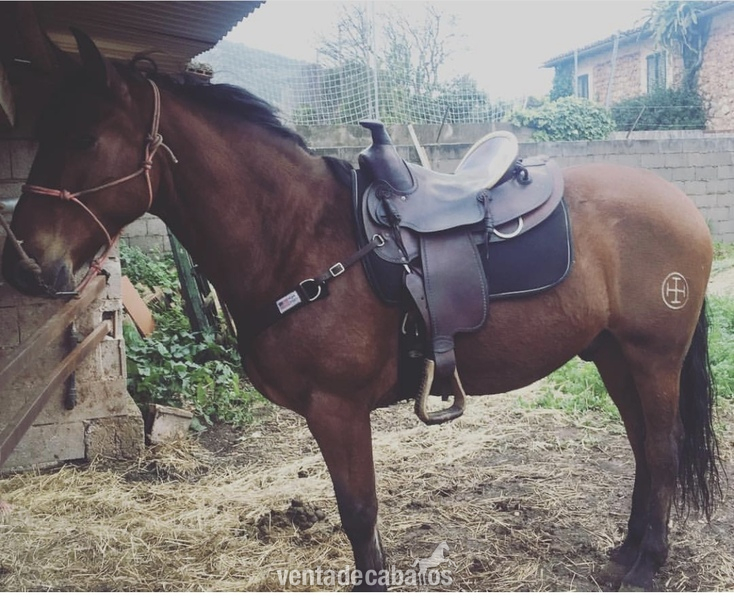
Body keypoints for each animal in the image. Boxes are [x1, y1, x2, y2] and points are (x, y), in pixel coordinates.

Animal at [1, 30, 722, 591]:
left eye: (86, 137)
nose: (23, 259)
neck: (298, 237)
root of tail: (681, 204)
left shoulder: (337, 408)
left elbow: (359, 512)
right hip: (612, 356)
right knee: (644, 448)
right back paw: (626, 553)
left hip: (652, 357)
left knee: (662, 450)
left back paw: (647, 567)